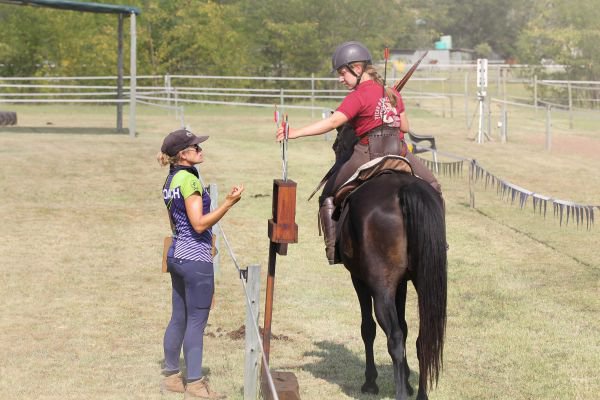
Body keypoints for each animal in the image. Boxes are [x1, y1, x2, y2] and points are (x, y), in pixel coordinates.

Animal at [336, 170, 448, 400]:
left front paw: (371, 382)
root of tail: (404, 188)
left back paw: (400, 393)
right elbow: (405, 326)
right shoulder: (402, 283)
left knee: (394, 337)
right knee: (422, 338)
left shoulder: (358, 279)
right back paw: (421, 394)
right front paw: (407, 381)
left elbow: (368, 328)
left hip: (381, 289)